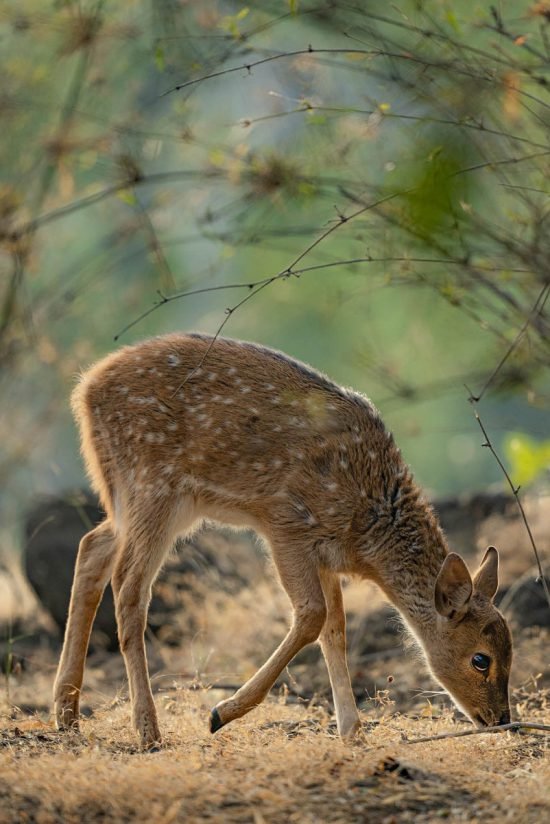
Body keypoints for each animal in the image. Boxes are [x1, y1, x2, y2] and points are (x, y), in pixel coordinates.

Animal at [54, 334, 516, 748]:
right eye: (481, 659)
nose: (500, 719)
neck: (369, 527)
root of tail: (84, 389)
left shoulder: (326, 554)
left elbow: (336, 631)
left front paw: (353, 733)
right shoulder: (287, 525)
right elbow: (312, 615)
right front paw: (220, 713)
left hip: (141, 498)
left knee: (92, 548)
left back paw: (66, 713)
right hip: (151, 485)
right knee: (129, 587)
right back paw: (148, 730)